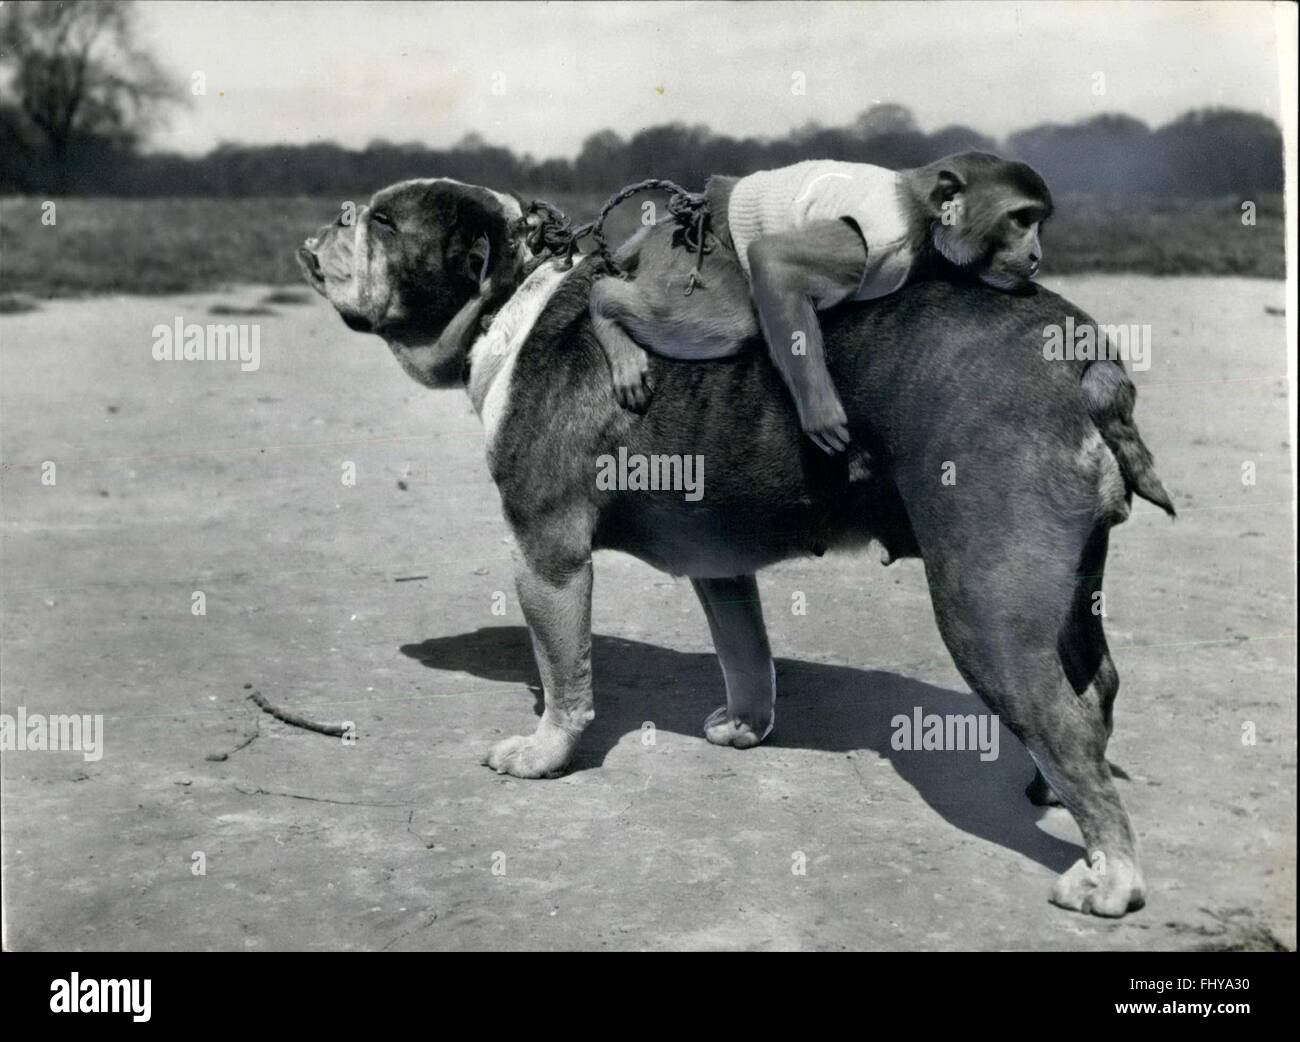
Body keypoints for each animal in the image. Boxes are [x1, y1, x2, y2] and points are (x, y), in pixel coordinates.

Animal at [595, 151, 1050, 454]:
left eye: (1037, 222)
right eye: (1020, 219)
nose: (1036, 255)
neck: (925, 217)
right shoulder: (881, 237)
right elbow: (772, 258)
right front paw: (820, 412)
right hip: (690, 259)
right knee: (730, 322)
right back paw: (605, 306)